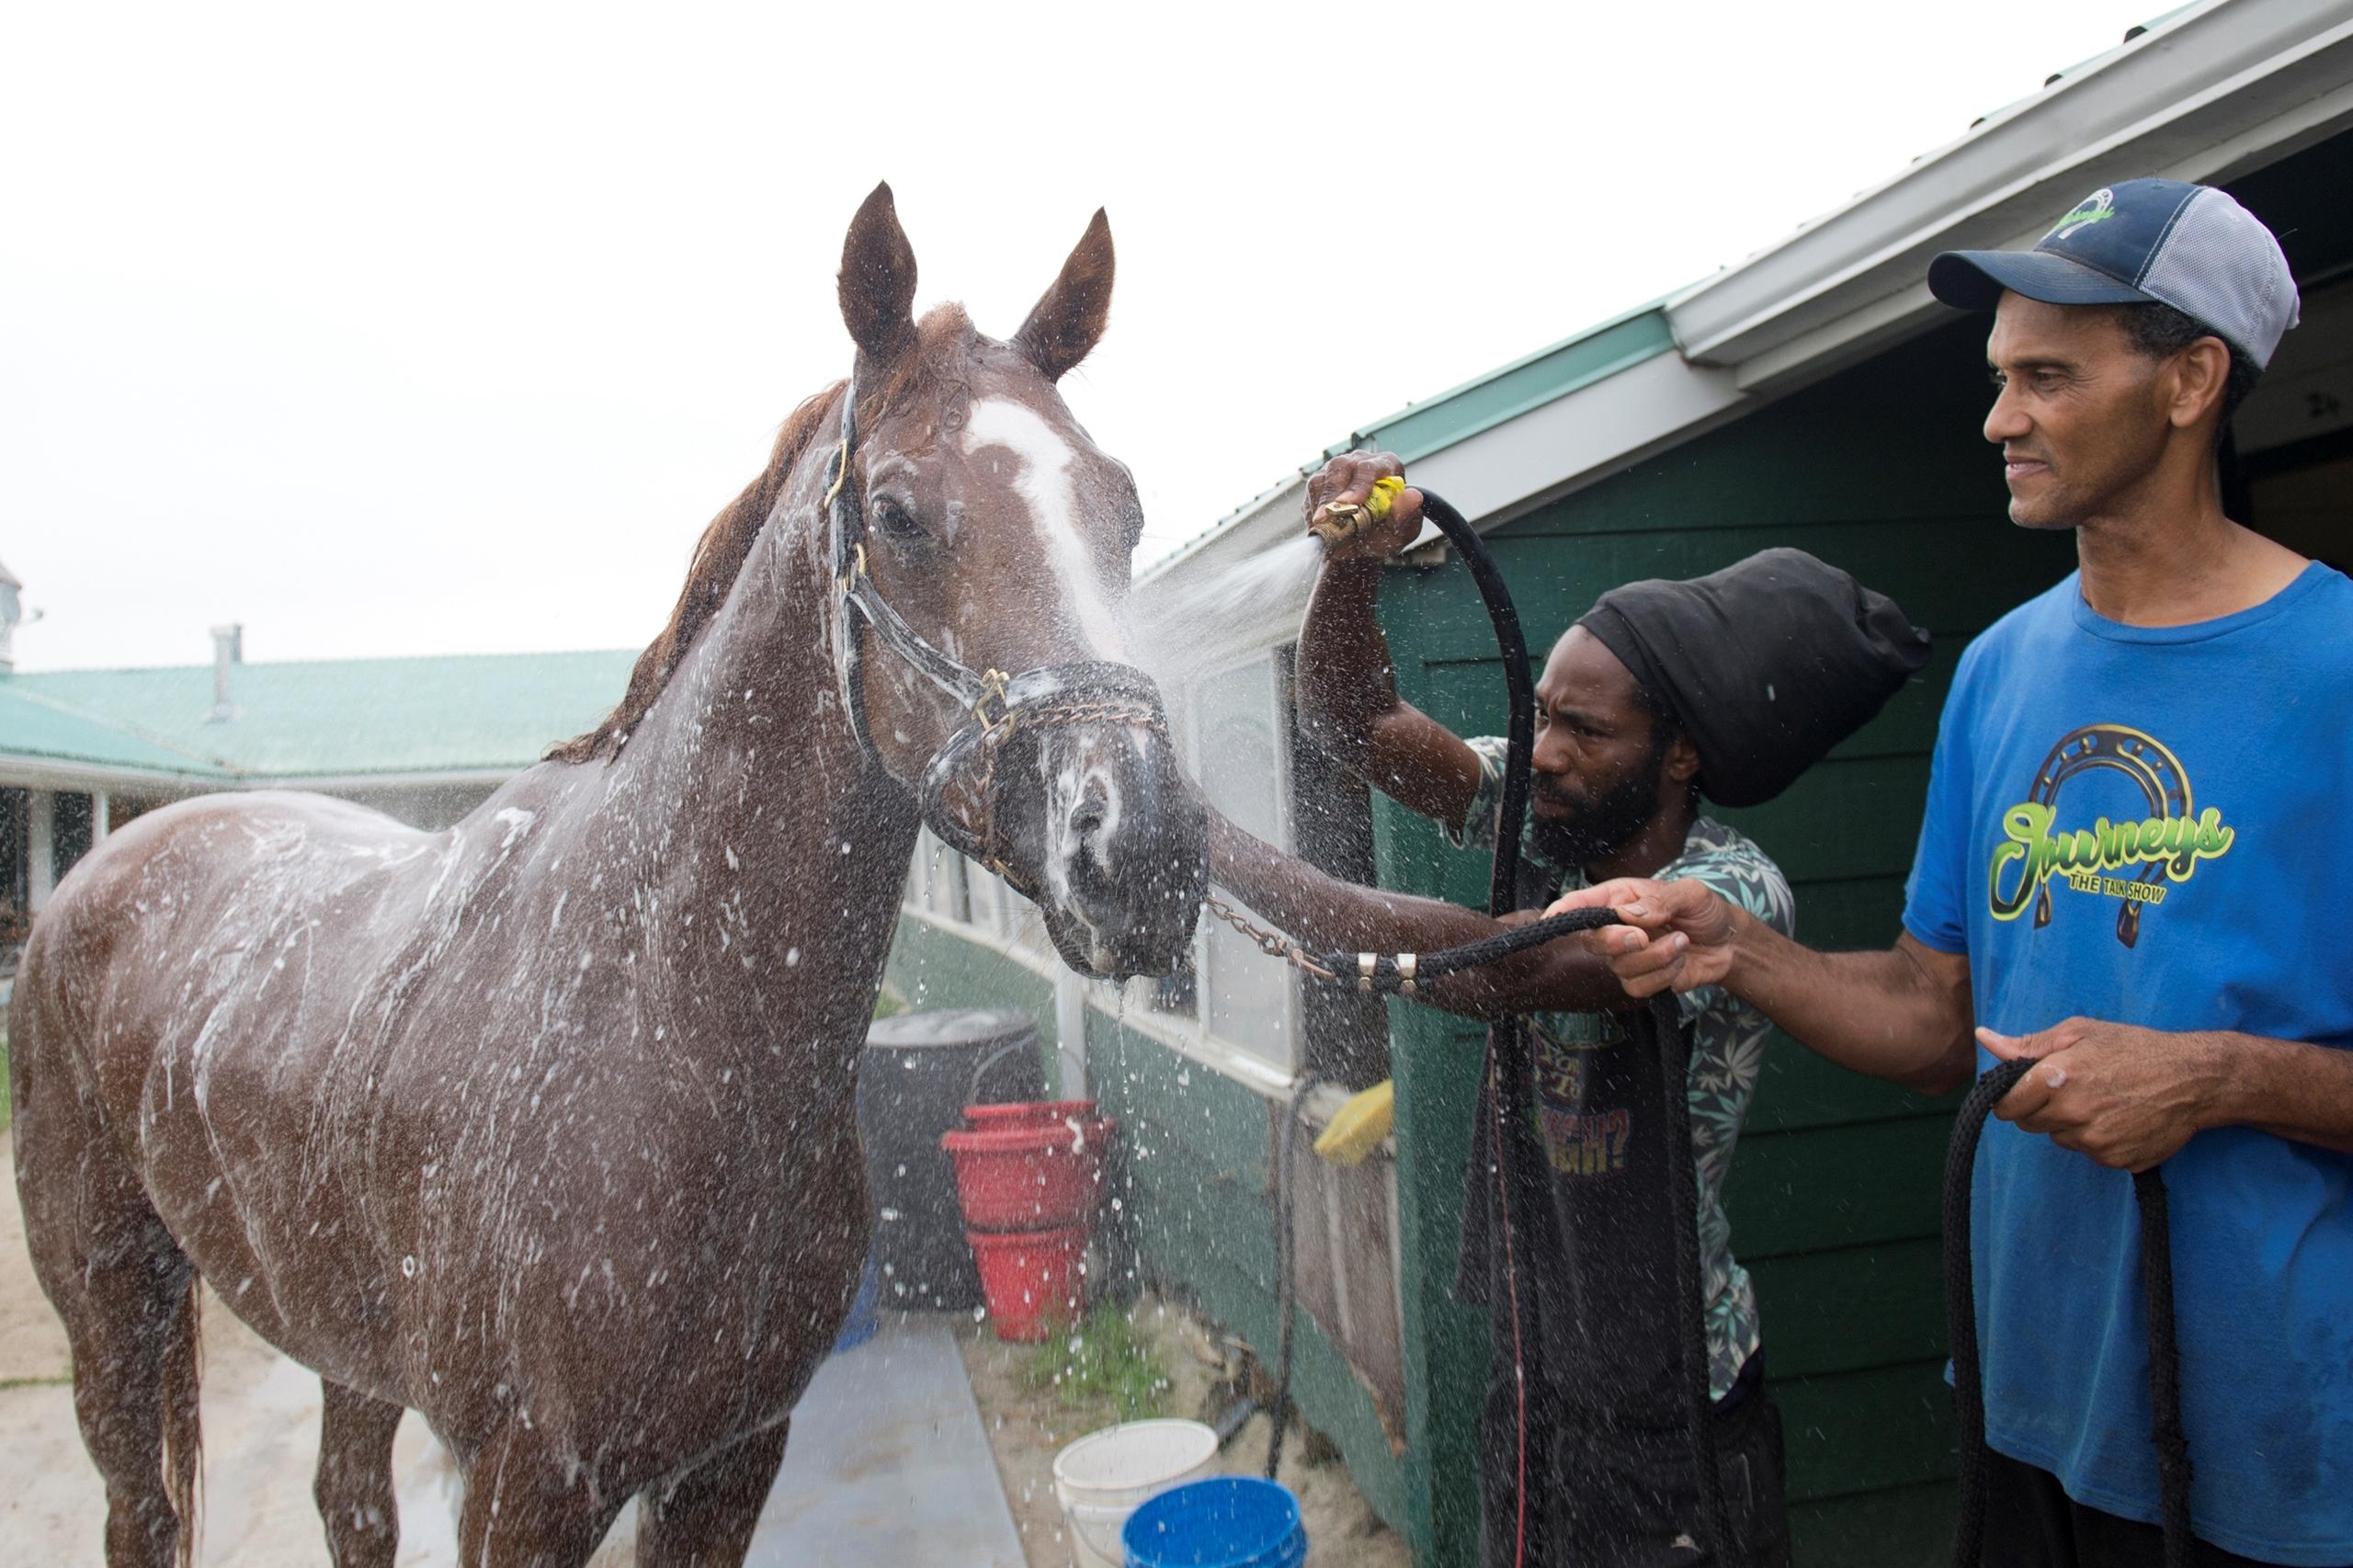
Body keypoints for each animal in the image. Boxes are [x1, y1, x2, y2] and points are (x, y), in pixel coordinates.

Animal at [11, 181, 1206, 1567]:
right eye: (898, 513)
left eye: (1122, 506)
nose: (1142, 844)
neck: (654, 1024)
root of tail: (101, 870)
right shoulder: (522, 1486)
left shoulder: (729, 1460)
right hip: (112, 1312)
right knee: (141, 1511)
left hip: (345, 1350)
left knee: (350, 1502)